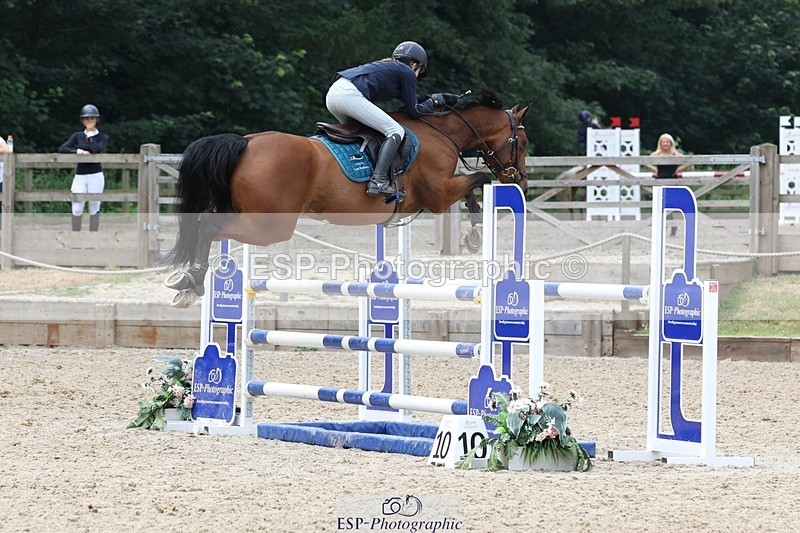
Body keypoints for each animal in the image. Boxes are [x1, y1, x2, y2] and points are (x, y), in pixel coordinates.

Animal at [164, 88, 531, 307]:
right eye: (523, 143)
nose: (522, 183)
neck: (442, 132)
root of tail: (246, 142)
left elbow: (476, 182)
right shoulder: (439, 195)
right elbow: (478, 179)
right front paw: (475, 232)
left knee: (205, 226)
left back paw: (188, 284)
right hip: (270, 226)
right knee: (209, 227)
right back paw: (192, 281)